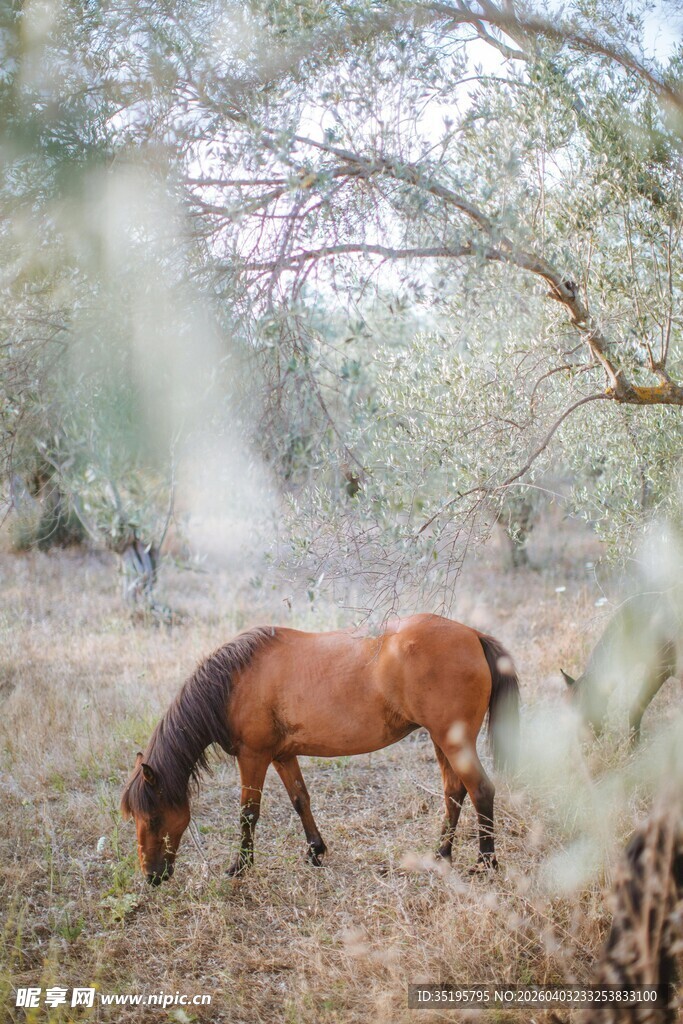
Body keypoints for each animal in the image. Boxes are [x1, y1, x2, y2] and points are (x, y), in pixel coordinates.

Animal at [121, 613, 520, 885]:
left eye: (153, 817)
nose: (151, 877)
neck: (235, 681)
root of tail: (473, 635)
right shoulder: (282, 755)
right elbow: (301, 799)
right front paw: (315, 850)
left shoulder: (253, 756)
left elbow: (248, 813)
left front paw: (241, 866)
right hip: (442, 742)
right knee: (454, 793)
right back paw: (440, 856)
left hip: (453, 742)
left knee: (480, 791)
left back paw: (485, 863)